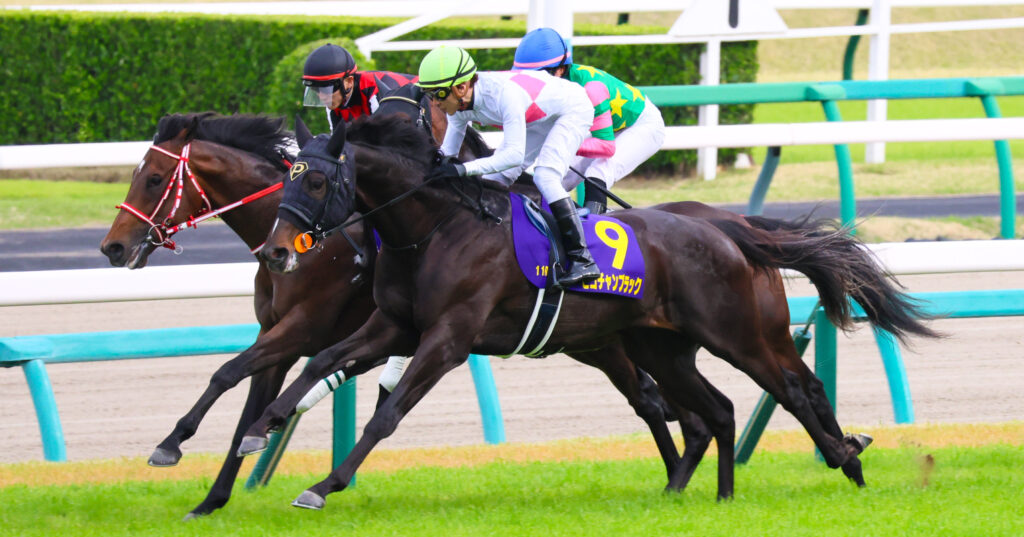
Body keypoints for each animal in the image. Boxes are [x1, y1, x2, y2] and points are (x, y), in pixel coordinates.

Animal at [243, 114, 937, 510]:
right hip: (664, 346)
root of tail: (728, 228)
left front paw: (321, 486)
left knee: (794, 387)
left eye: (315, 180)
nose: (275, 251)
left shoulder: (448, 337)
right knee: (715, 409)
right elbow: (323, 362)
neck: (436, 226)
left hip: (738, 333)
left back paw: (846, 460)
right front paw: (262, 425)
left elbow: (386, 413)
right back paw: (707, 493)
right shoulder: (396, 325)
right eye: (288, 174)